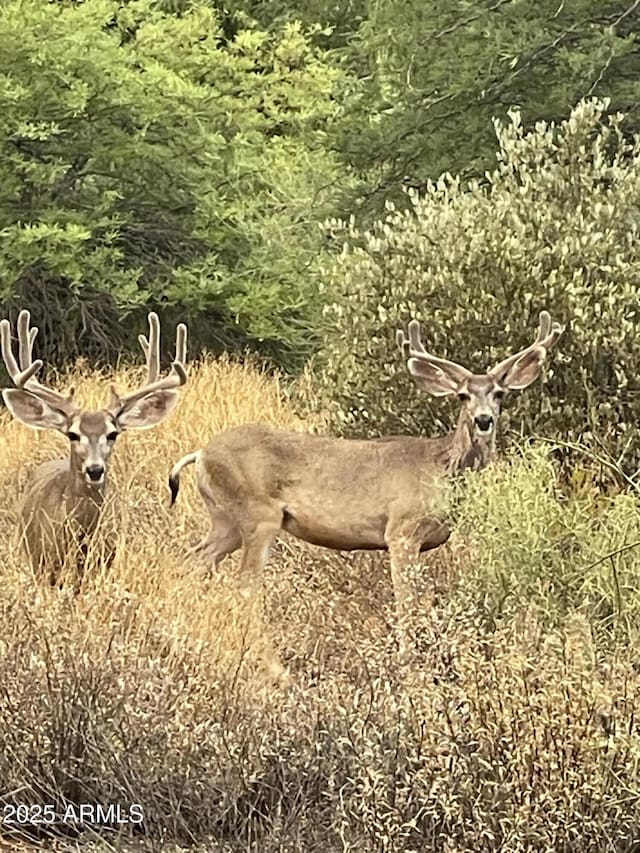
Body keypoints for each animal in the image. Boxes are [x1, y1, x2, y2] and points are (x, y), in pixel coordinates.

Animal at [169, 310, 560, 668]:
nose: (483, 419)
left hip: (226, 521)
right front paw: (407, 660)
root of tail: (201, 454)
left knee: (192, 561)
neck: (441, 467)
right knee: (245, 584)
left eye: (499, 393)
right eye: (463, 395)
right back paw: (268, 662)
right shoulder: (401, 530)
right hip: (257, 514)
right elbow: (406, 603)